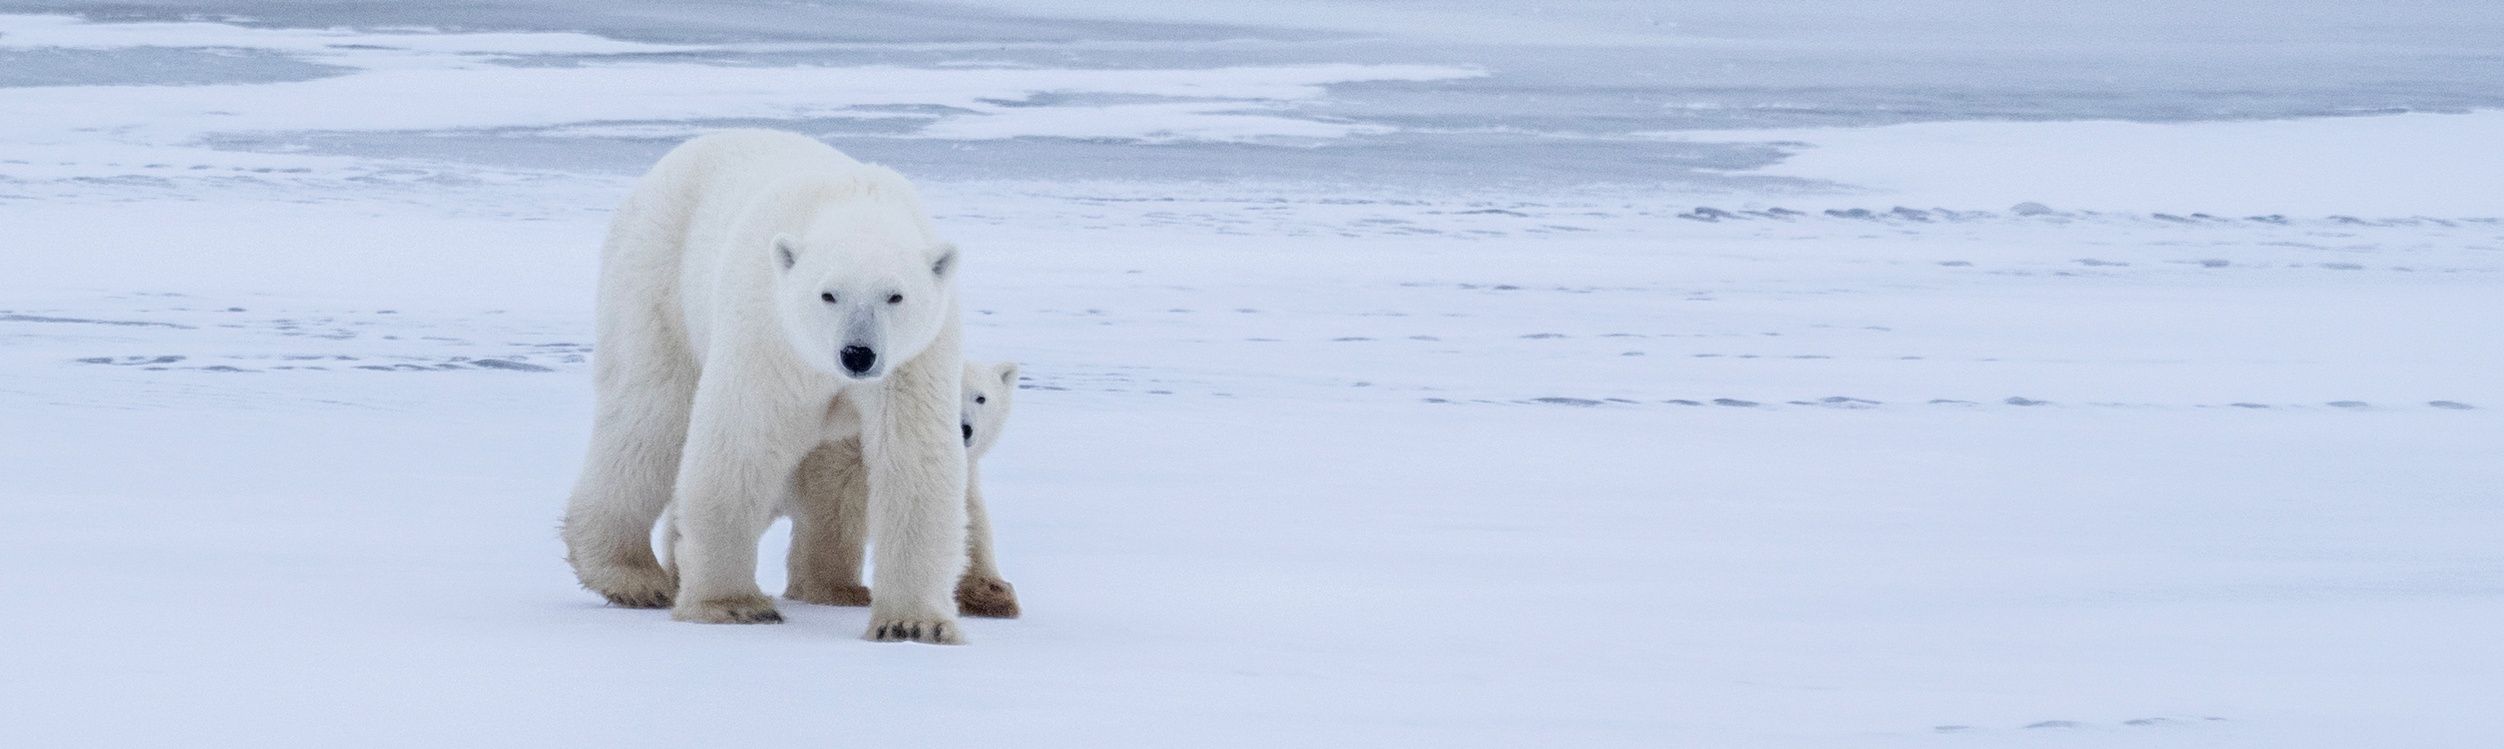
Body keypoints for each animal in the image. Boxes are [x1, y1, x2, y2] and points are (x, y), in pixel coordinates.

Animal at [563, 129, 971, 646]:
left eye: (895, 296)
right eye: (828, 294)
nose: (857, 354)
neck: (855, 203)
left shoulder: (915, 360)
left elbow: (914, 459)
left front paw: (913, 624)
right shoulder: (769, 332)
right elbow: (742, 440)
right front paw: (732, 605)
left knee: (834, 469)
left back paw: (833, 586)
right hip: (655, 282)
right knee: (649, 419)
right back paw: (632, 577)